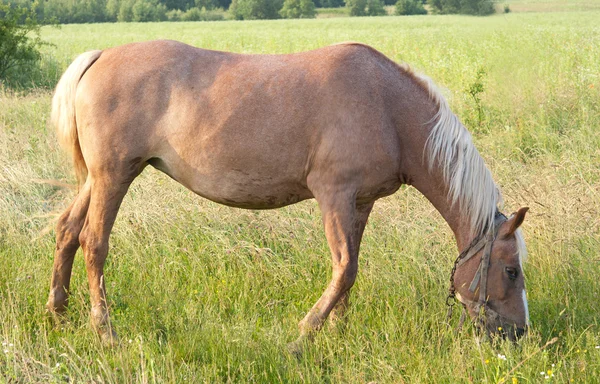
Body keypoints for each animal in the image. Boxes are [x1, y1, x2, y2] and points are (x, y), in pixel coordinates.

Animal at [49, 40, 532, 350]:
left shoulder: (360, 203)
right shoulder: (334, 195)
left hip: (98, 178)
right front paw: (304, 334)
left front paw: (336, 331)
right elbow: (344, 268)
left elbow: (351, 269)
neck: (387, 106)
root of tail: (100, 56)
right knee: (94, 242)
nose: (519, 333)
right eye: (511, 271)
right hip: (114, 177)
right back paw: (106, 332)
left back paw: (59, 311)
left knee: (68, 230)